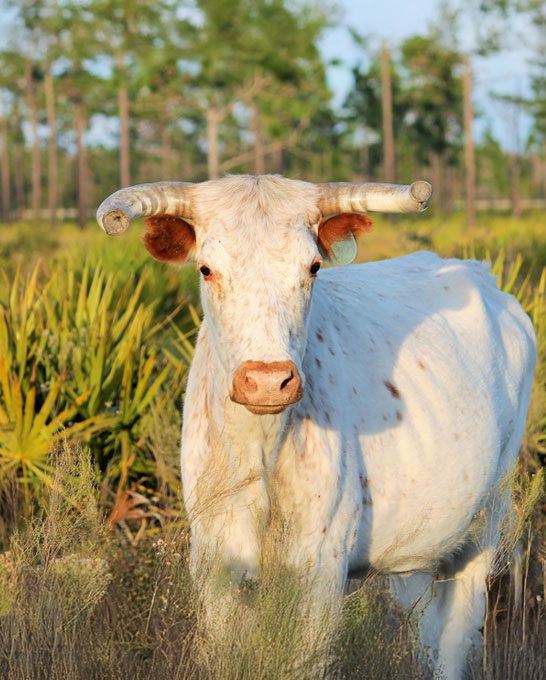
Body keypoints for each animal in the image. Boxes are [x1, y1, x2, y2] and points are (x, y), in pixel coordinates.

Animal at [95, 177, 532, 680]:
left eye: (313, 267)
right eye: (206, 269)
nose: (267, 380)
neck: (261, 453)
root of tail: (483, 277)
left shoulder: (319, 569)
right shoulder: (215, 563)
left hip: (486, 523)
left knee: (456, 635)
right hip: (418, 551)